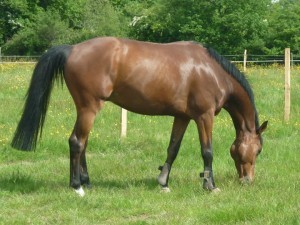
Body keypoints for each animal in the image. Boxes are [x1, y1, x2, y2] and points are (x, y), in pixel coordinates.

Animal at [10, 37, 268, 195]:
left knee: (83, 144)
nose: (248, 180)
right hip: (88, 108)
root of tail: (72, 49)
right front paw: (210, 185)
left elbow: (172, 149)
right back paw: (77, 187)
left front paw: (163, 182)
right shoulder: (204, 117)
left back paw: (87, 183)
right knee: (76, 142)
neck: (212, 71)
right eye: (258, 150)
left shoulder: (182, 117)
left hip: (85, 110)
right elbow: (207, 151)